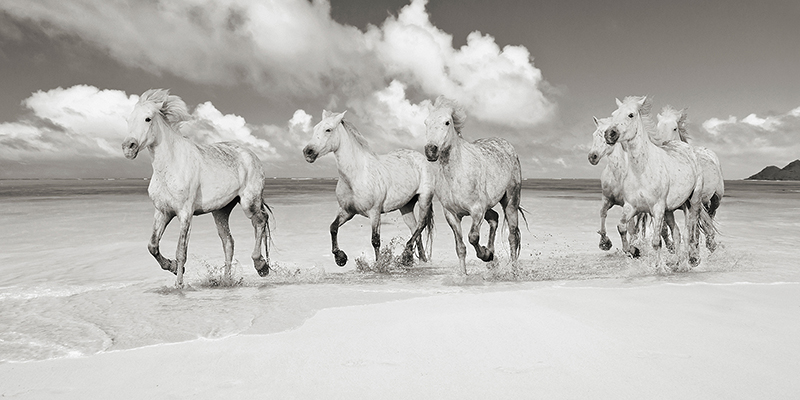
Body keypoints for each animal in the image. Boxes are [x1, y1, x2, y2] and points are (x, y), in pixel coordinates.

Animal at [121, 89, 272, 286]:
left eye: (147, 119)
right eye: (128, 120)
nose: (128, 148)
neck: (171, 166)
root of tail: (251, 155)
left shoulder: (185, 213)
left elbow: (181, 251)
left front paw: (179, 284)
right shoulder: (162, 212)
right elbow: (152, 246)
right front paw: (171, 267)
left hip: (249, 202)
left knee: (260, 220)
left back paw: (261, 266)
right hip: (221, 211)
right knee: (228, 242)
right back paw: (226, 280)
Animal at [302, 110, 438, 266]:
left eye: (328, 129)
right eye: (315, 129)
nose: (308, 152)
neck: (357, 176)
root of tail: (421, 158)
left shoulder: (374, 212)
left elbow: (375, 240)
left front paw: (379, 265)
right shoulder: (347, 212)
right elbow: (333, 228)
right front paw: (340, 258)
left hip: (424, 198)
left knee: (421, 225)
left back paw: (406, 255)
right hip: (406, 206)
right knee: (415, 230)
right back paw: (421, 260)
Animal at [424, 96, 524, 276]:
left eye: (447, 122)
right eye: (426, 122)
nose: (430, 150)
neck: (456, 174)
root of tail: (506, 144)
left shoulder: (477, 210)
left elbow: (473, 237)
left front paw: (486, 255)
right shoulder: (452, 215)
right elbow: (460, 248)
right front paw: (466, 274)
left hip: (511, 202)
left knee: (512, 236)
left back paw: (513, 271)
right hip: (488, 206)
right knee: (494, 218)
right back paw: (493, 261)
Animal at [604, 95, 708, 268]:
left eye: (631, 115)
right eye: (613, 114)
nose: (609, 134)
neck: (642, 170)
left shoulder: (657, 208)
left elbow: (656, 241)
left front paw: (660, 268)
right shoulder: (631, 206)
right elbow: (622, 227)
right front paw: (634, 251)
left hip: (693, 201)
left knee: (690, 231)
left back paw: (689, 261)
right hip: (670, 210)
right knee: (677, 232)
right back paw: (677, 262)